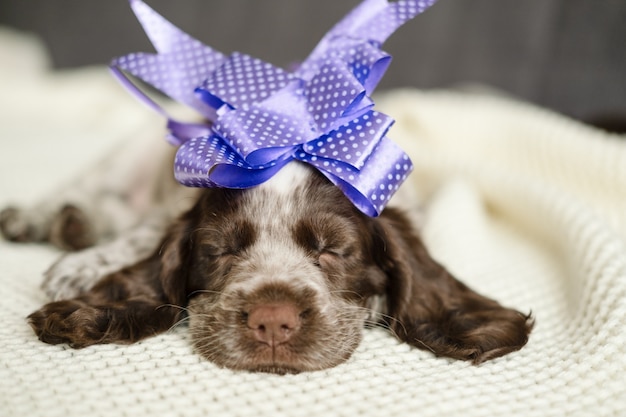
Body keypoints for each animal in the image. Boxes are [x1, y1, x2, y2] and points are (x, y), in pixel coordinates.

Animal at [0, 133, 532, 374]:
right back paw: (46, 220)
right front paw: (82, 271)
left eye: (333, 249)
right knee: (83, 190)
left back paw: (75, 226)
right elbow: (144, 234)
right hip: (129, 154)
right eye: (218, 251)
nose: (272, 321)